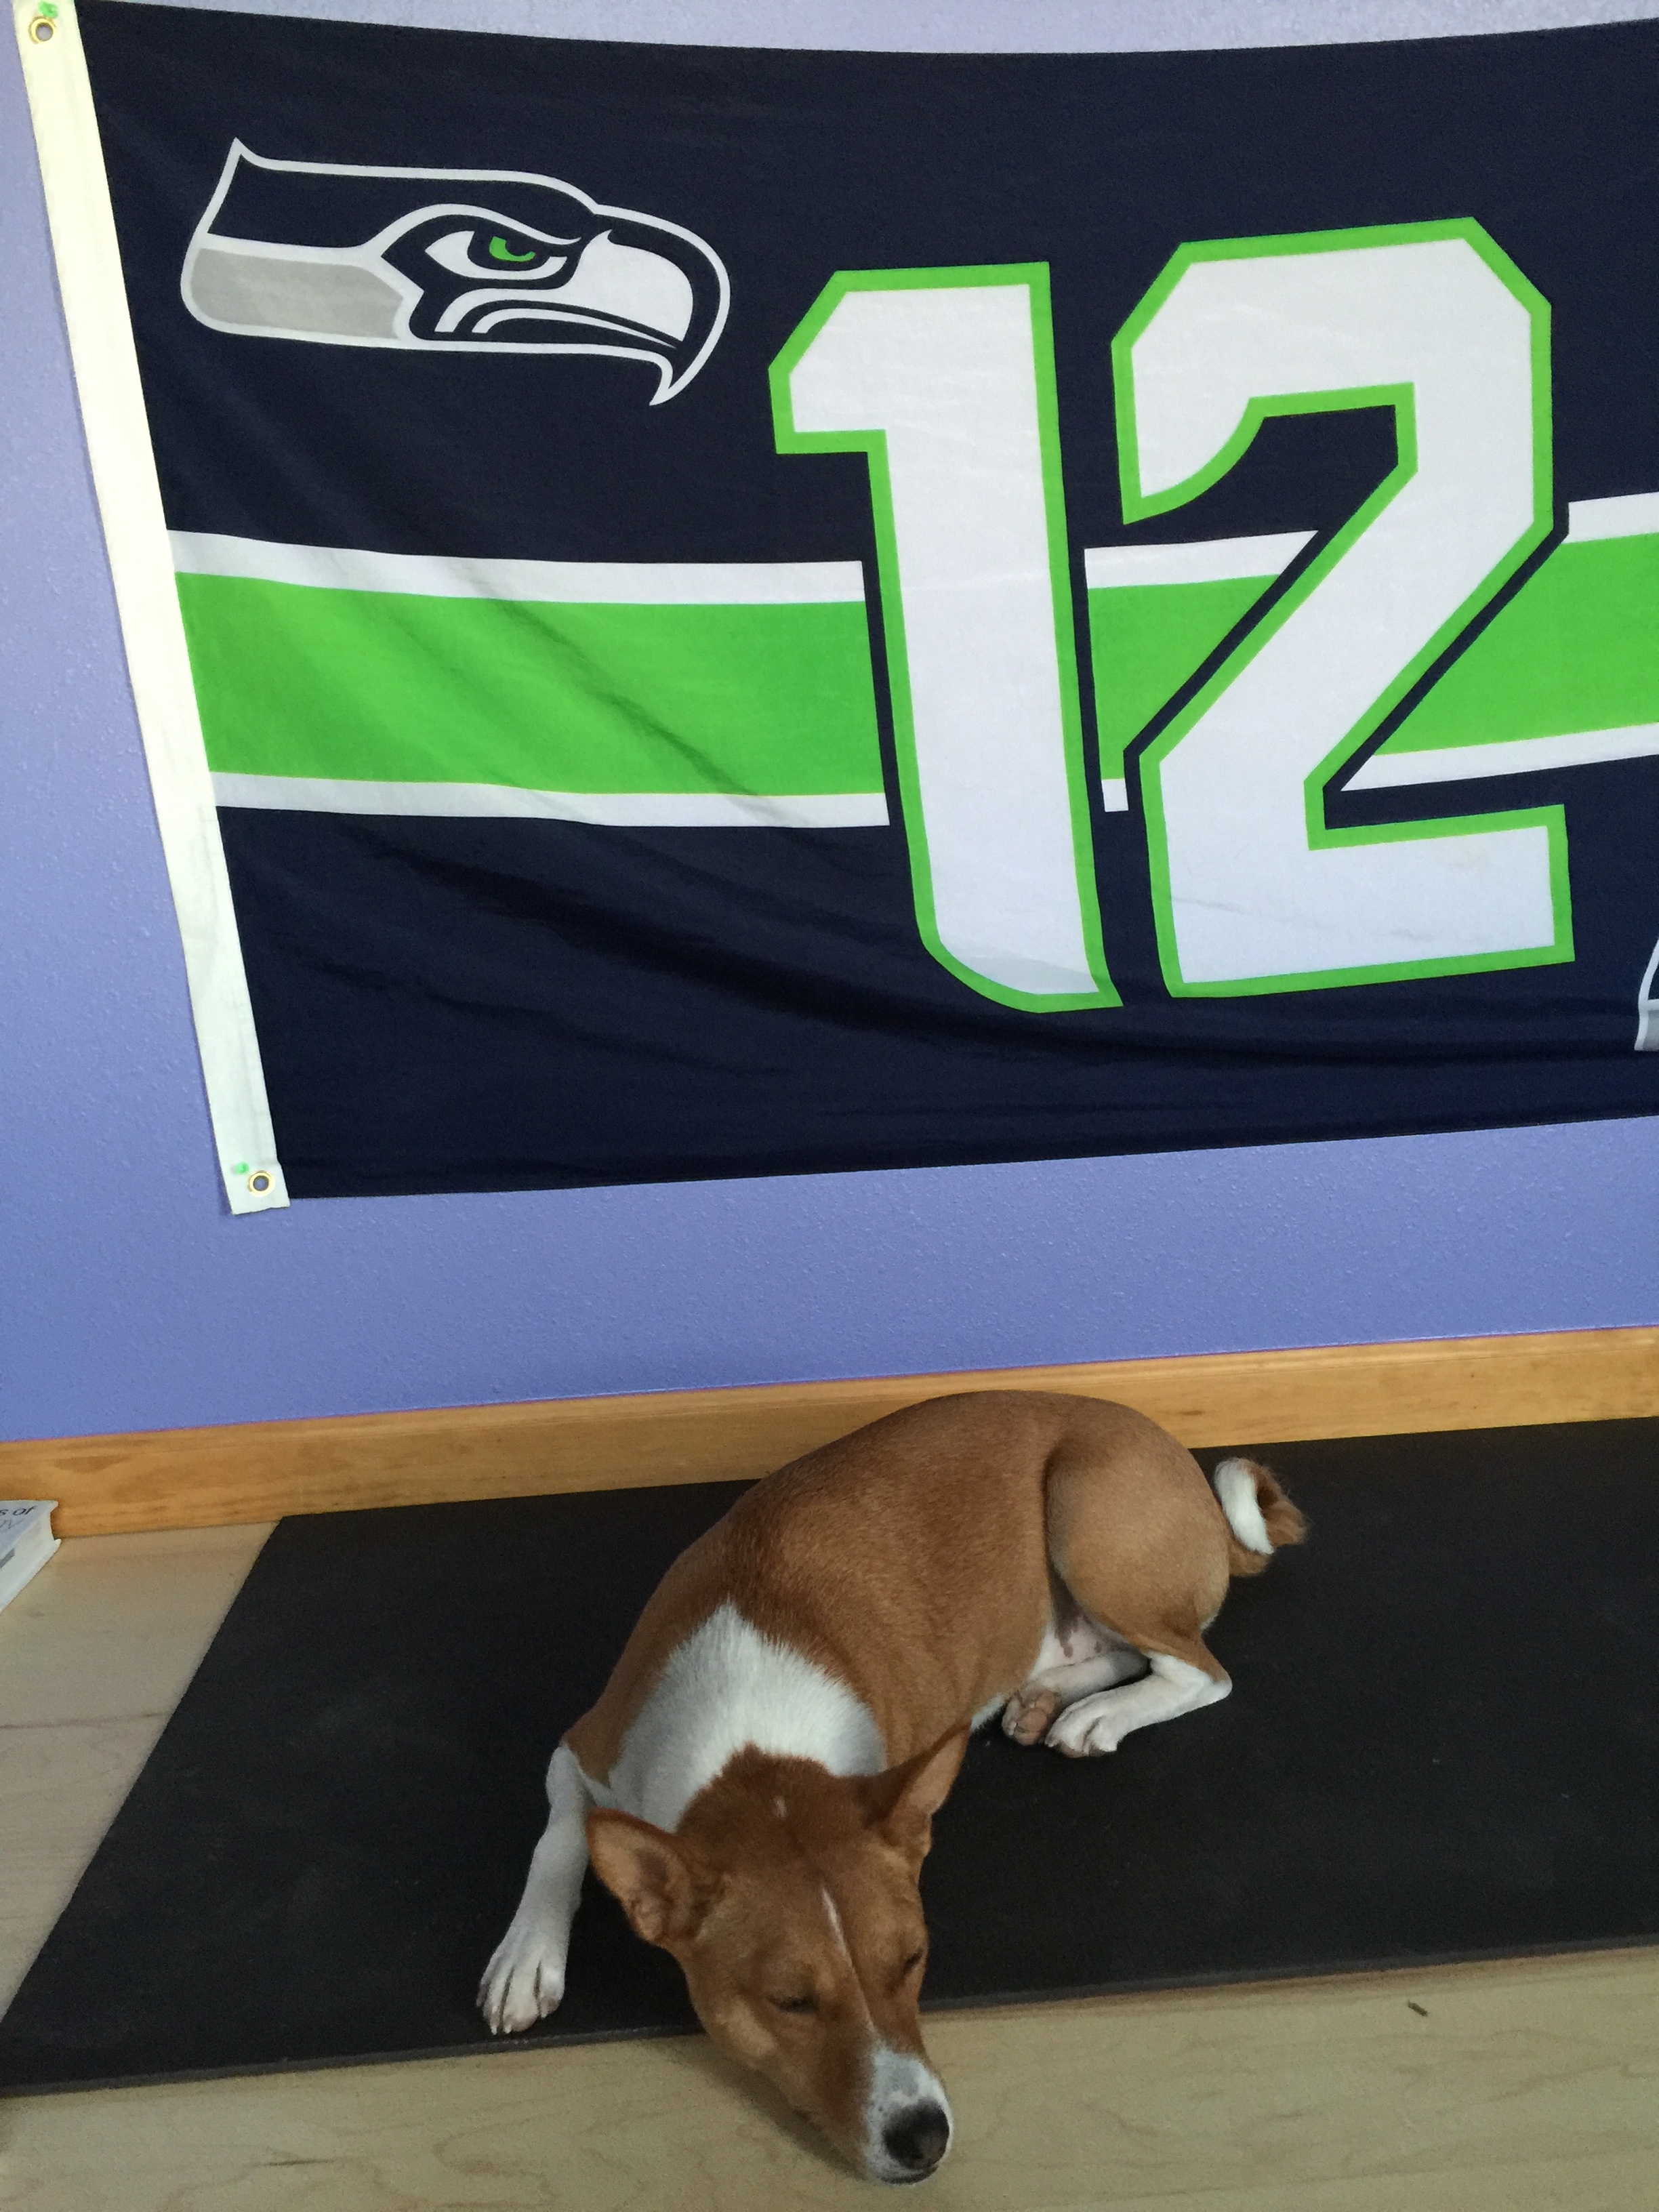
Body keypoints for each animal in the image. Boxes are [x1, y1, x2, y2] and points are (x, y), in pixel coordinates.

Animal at [479, 1390, 1305, 2182]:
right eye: (790, 2003)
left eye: (913, 1961)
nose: (923, 2139)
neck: (753, 1743)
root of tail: (1184, 1471)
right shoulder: (584, 1747)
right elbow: (558, 1840)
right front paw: (528, 1956)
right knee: (1133, 1654)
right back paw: (1047, 1696)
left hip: (1086, 1516)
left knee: (1201, 1672)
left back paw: (1098, 1715)